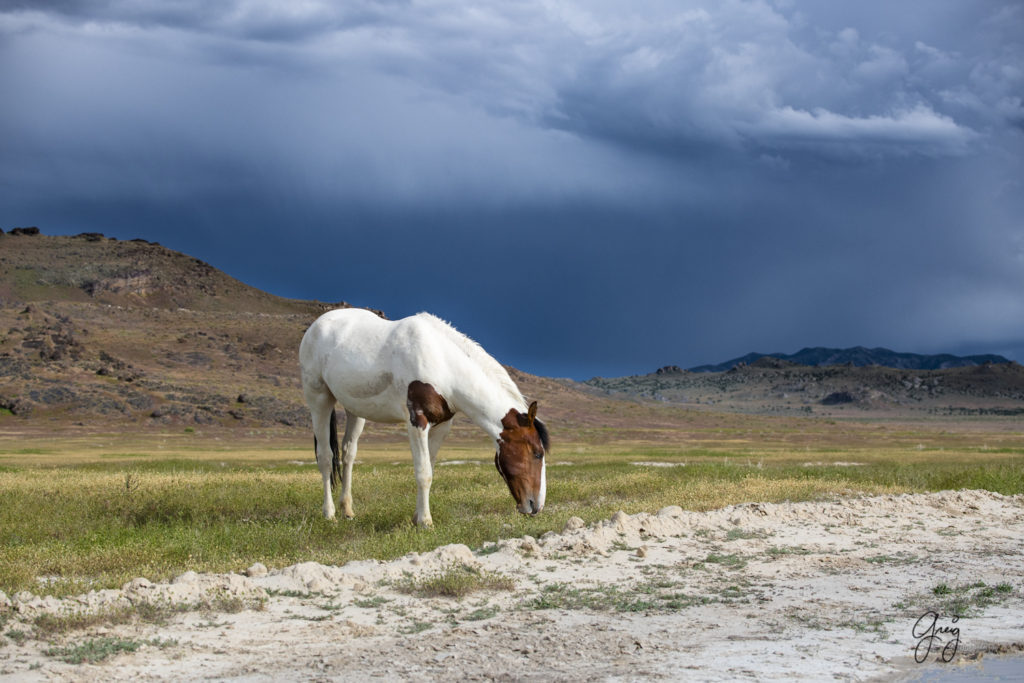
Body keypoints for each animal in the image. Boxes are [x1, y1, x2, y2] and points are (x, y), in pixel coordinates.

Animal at [299, 309, 548, 528]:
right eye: (537, 453)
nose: (536, 506)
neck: (443, 363)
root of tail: (316, 326)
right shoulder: (417, 423)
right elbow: (423, 473)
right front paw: (426, 522)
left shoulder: (442, 426)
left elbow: (430, 469)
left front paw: (417, 517)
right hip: (319, 400)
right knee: (325, 456)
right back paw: (329, 514)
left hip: (355, 410)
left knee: (348, 453)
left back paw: (347, 510)